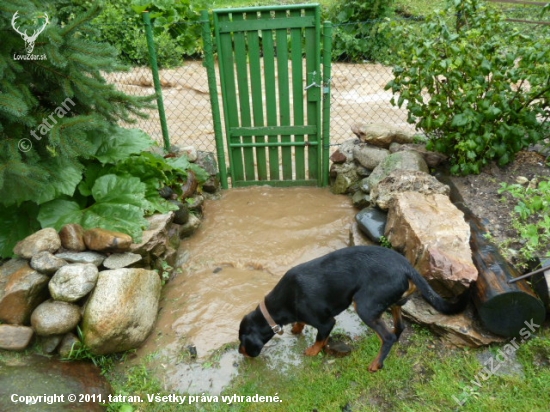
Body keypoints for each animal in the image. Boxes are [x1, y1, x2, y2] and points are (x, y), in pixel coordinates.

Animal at [238, 246, 470, 372]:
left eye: (242, 341)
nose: (241, 352)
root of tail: (407, 266)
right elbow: (300, 322)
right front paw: (296, 329)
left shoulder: (326, 322)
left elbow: (320, 339)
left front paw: (312, 351)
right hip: (390, 302)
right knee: (399, 326)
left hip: (364, 306)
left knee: (387, 337)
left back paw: (376, 364)